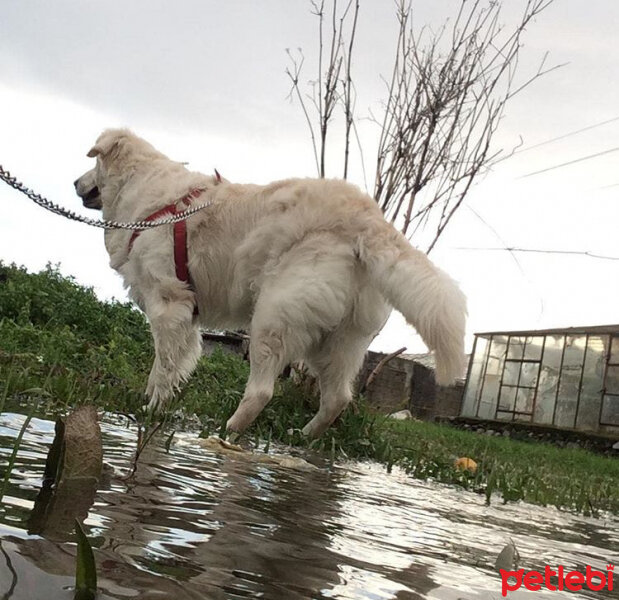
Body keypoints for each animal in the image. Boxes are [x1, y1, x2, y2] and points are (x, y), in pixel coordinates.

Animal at [75, 130, 468, 436]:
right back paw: (304, 436)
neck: (145, 194)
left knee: (262, 392)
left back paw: (227, 429)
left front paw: (150, 409)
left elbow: (163, 367)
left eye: (93, 163)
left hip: (271, 319)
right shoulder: (187, 317)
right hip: (340, 339)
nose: (74, 183)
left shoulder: (169, 305)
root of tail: (369, 219)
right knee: (337, 399)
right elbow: (175, 365)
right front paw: (155, 401)